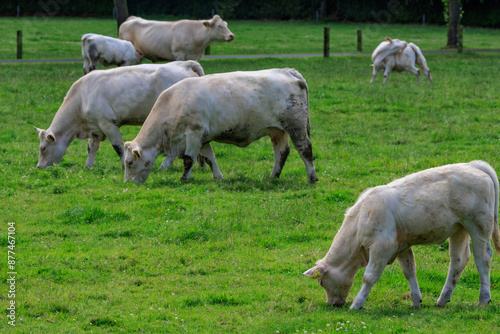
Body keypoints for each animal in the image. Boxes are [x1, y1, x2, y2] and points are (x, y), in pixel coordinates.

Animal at [34, 60, 205, 170]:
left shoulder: (108, 123)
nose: (39, 167)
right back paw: (200, 164)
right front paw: (88, 166)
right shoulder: (95, 128)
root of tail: (185, 64)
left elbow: (118, 147)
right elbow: (92, 148)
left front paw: (124, 165)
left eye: (43, 148)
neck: (82, 97)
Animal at [123, 67, 318, 184]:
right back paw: (273, 177)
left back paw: (312, 178)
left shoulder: (194, 134)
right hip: (278, 131)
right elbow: (210, 158)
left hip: (296, 126)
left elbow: (188, 159)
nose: (128, 184)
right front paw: (218, 177)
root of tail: (288, 71)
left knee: (305, 150)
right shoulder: (203, 139)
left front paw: (184, 179)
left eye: (130, 162)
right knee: (281, 153)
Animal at [304, 160, 500, 310]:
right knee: (458, 260)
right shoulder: (401, 246)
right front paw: (416, 300)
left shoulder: (382, 247)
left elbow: (369, 277)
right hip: (459, 229)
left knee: (482, 258)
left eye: (321, 283)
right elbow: (409, 271)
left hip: (479, 226)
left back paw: (484, 299)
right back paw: (442, 299)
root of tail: (473, 164)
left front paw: (357, 304)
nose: (332, 304)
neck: (361, 218)